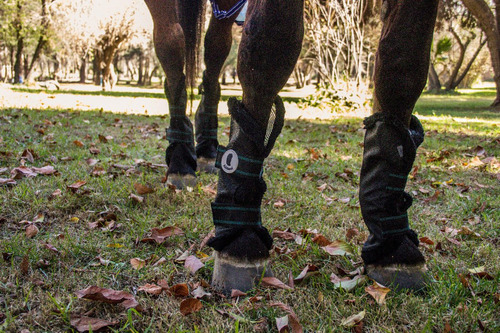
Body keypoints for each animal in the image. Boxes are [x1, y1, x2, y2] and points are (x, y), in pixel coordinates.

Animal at [143, 0, 440, 294]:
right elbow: (266, 48)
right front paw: (241, 242)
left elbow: (402, 63)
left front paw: (393, 246)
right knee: (172, 48)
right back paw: (181, 163)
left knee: (213, 55)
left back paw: (205, 150)